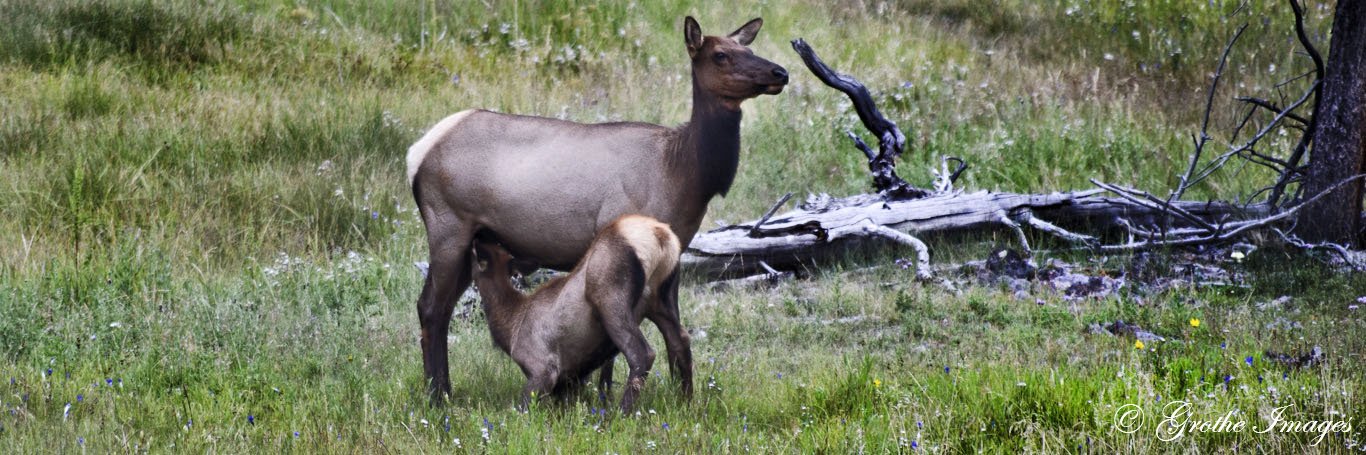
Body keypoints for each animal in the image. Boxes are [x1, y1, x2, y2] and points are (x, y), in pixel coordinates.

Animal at [472, 214, 688, 409]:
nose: (477, 237)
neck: (510, 325)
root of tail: (661, 236)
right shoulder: (569, 380)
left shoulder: (543, 367)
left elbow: (525, 408)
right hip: (661, 299)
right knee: (681, 339)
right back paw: (685, 403)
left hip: (610, 298)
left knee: (642, 354)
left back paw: (620, 413)